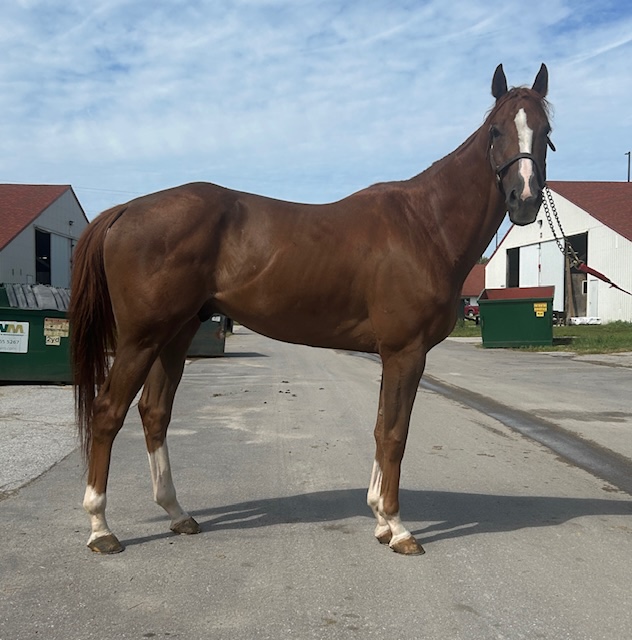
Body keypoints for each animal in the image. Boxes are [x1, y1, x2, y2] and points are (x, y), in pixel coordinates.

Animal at [70, 63, 552, 556]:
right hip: (141, 338)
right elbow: (394, 434)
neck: (425, 225)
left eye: (545, 131)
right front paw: (399, 528)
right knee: (108, 413)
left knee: (155, 413)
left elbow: (380, 427)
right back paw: (101, 529)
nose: (526, 199)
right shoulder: (406, 352)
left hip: (176, 334)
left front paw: (380, 519)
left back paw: (177, 514)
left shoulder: (390, 355)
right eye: (496, 130)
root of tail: (126, 209)